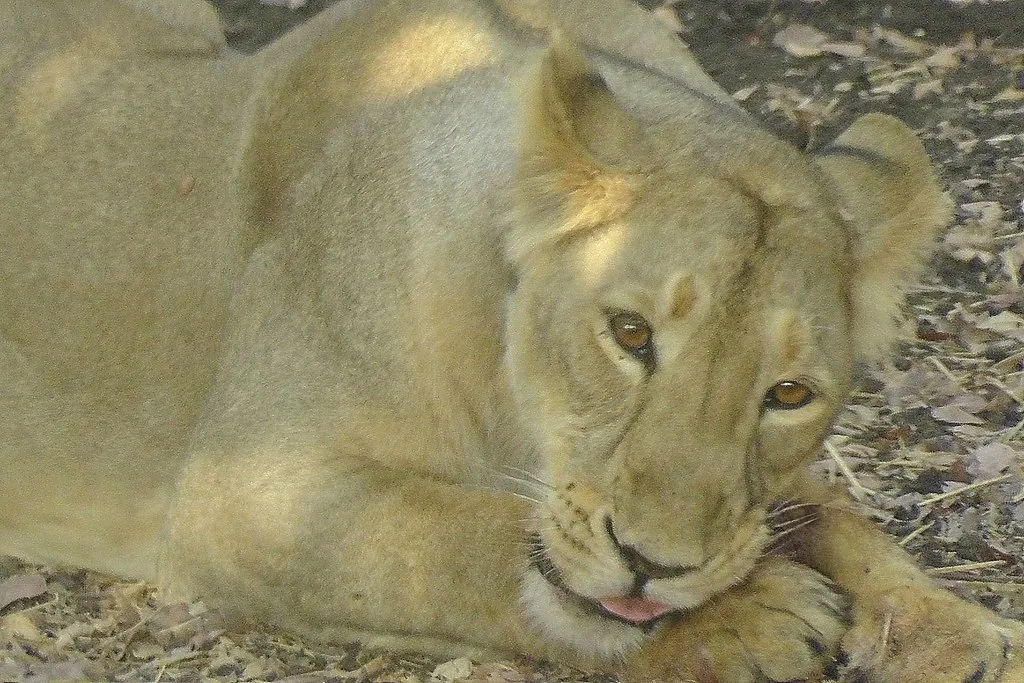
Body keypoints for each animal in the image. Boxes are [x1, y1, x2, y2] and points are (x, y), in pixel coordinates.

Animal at [2, 0, 1024, 679]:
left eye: (788, 394)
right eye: (629, 332)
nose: (654, 565)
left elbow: (830, 509)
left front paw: (945, 629)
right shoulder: (241, 492)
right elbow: (451, 537)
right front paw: (752, 614)